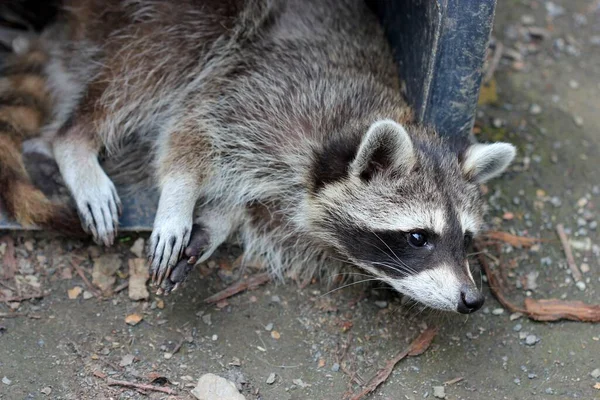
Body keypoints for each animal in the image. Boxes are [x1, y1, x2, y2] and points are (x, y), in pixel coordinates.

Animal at [0, 0, 516, 312]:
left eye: (467, 239)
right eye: (417, 238)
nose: (472, 300)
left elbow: (246, 204)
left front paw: (215, 224)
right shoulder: (261, 90)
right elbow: (190, 128)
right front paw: (179, 197)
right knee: (162, 57)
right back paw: (75, 140)